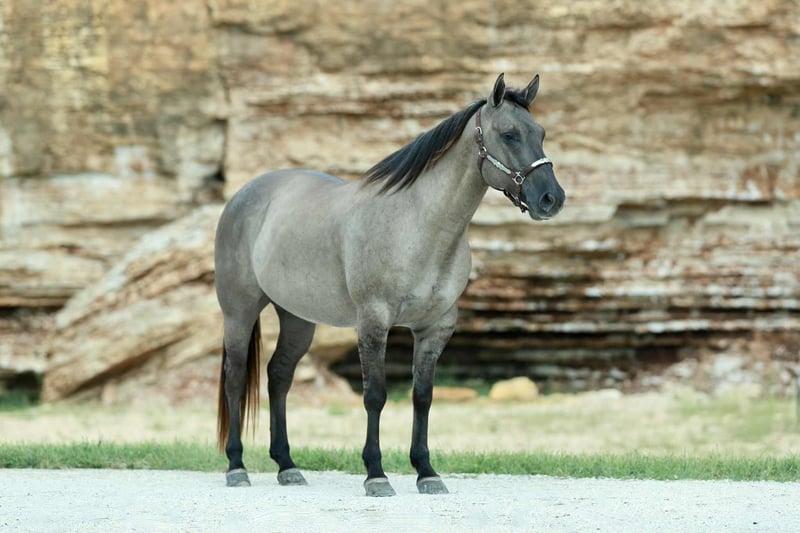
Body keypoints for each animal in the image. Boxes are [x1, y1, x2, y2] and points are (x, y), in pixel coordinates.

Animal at [215, 73, 565, 496]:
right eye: (510, 134)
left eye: (541, 133)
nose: (551, 199)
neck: (417, 226)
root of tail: (244, 194)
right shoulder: (374, 322)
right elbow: (375, 396)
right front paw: (376, 474)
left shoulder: (435, 328)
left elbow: (422, 397)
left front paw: (426, 472)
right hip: (239, 311)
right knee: (235, 378)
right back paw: (237, 466)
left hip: (297, 318)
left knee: (279, 376)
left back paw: (287, 466)